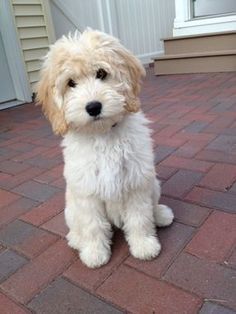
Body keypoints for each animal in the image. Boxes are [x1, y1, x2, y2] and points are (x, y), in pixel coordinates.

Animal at [36, 29, 173, 268]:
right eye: (71, 83)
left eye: (101, 73)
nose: (93, 107)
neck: (103, 135)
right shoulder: (87, 192)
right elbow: (93, 225)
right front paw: (95, 253)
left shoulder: (136, 183)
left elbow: (140, 217)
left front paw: (144, 245)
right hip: (70, 208)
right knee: (78, 227)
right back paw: (76, 239)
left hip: (152, 183)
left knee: (152, 206)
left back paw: (161, 214)